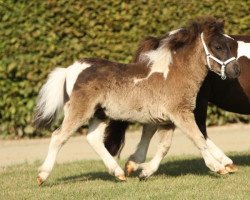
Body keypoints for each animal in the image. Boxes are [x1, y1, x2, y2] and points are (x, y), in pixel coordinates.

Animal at [33, 18, 240, 185]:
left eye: (231, 44)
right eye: (218, 46)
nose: (236, 70)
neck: (174, 73)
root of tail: (70, 70)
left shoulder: (167, 120)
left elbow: (164, 148)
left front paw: (143, 172)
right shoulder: (180, 114)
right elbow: (198, 138)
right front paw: (217, 167)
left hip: (100, 114)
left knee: (93, 138)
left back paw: (118, 173)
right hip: (80, 110)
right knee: (58, 136)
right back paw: (42, 176)